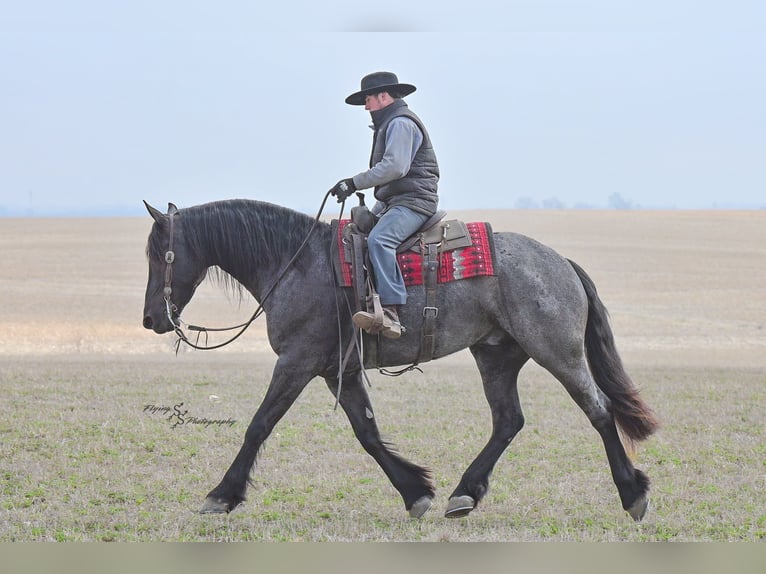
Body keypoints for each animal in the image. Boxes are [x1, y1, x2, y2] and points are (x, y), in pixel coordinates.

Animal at [141, 198, 658, 521]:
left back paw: (632, 494)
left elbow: (259, 425)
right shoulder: (339, 370)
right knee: (508, 421)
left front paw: (221, 496)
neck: (296, 262)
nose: (151, 318)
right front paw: (416, 492)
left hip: (558, 352)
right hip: (496, 356)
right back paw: (463, 494)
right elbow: (367, 433)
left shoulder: (296, 362)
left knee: (599, 410)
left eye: (159, 254)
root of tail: (562, 262)